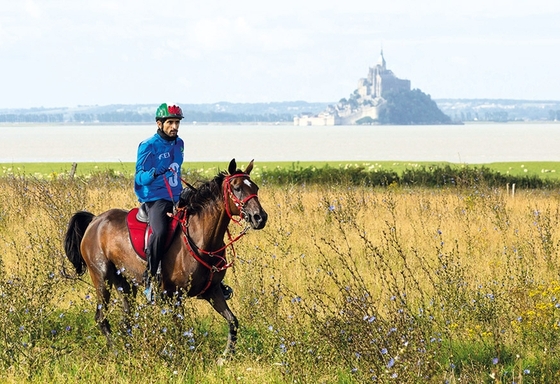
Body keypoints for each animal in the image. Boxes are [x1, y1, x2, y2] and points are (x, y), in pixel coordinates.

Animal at [64, 159, 266, 356]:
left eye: (255, 188)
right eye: (237, 187)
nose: (260, 217)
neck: (201, 238)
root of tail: (95, 220)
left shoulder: (213, 291)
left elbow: (233, 322)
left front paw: (225, 357)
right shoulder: (175, 296)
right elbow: (180, 330)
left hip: (125, 282)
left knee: (126, 319)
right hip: (101, 277)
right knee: (101, 318)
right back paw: (116, 353)